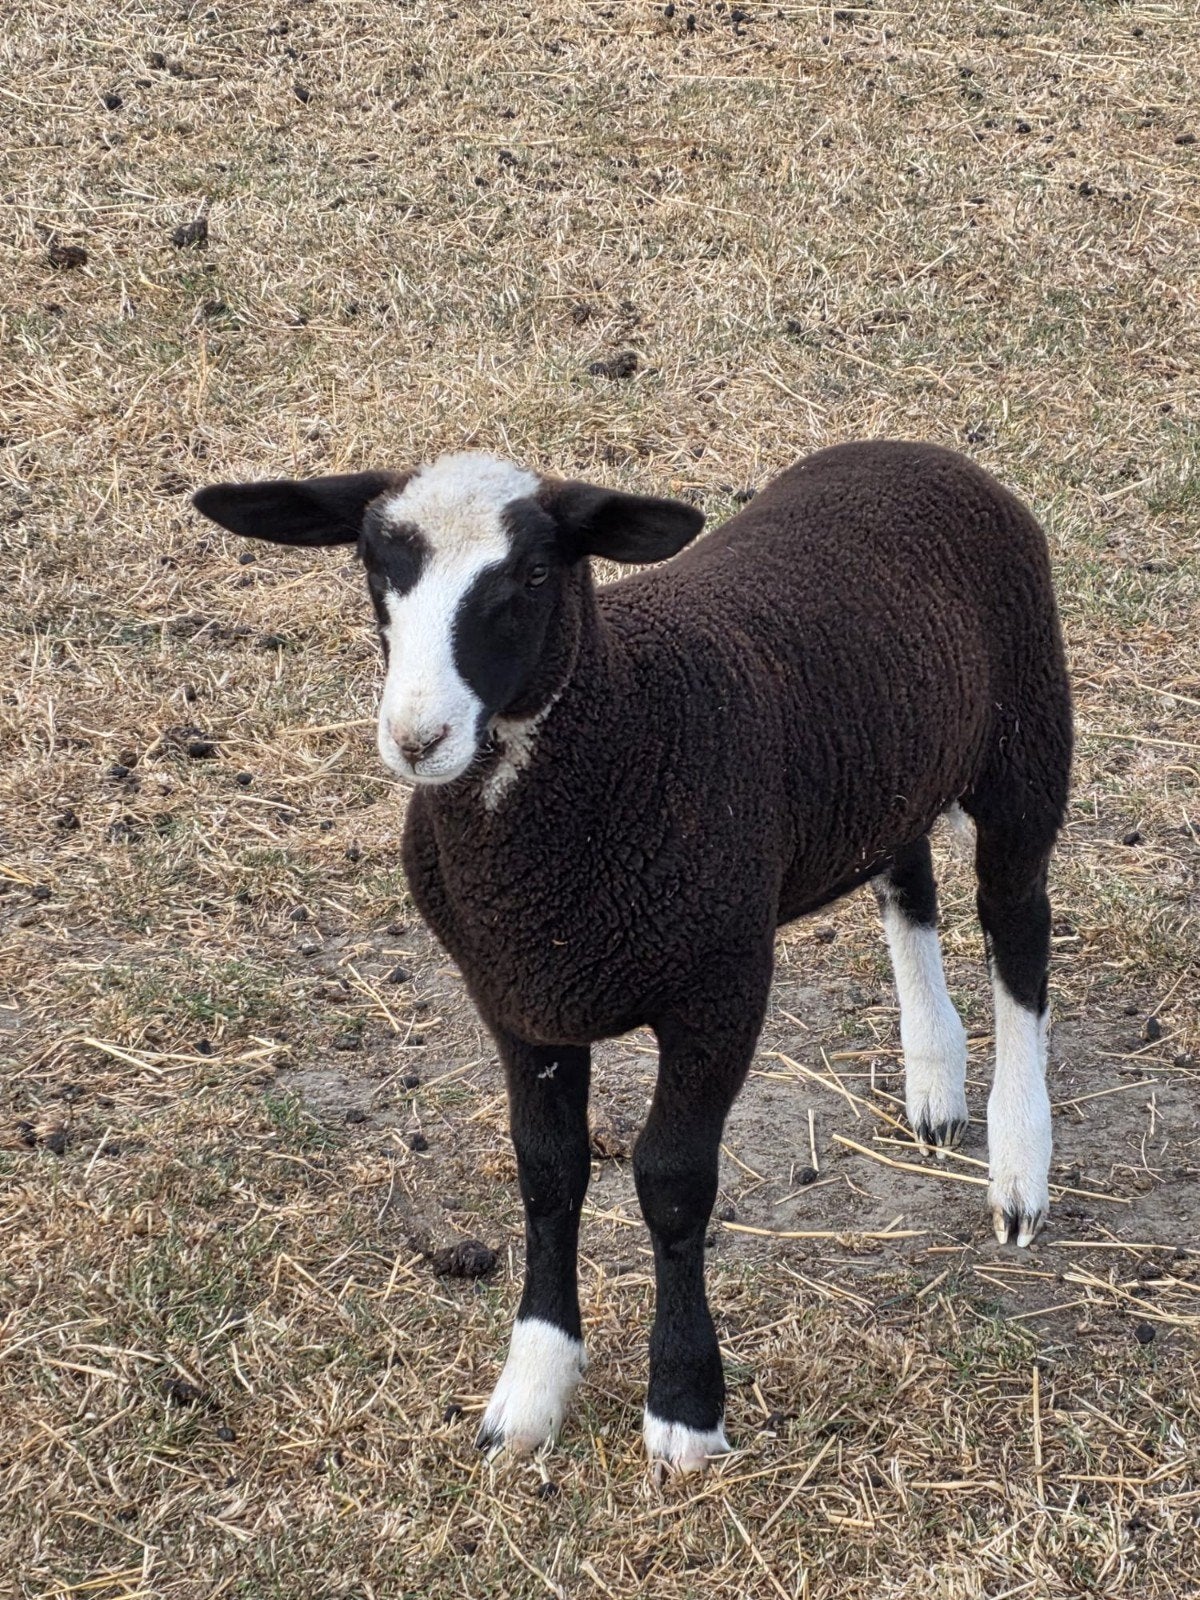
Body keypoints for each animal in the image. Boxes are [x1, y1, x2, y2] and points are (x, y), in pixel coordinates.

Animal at [192, 440, 1073, 1475]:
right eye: (376, 566)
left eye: (535, 574)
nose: (418, 740)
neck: (623, 722)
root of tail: (913, 450)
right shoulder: (518, 995)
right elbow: (548, 1172)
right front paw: (529, 1393)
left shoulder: (718, 990)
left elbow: (673, 1185)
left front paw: (685, 1407)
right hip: (891, 763)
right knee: (908, 875)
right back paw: (934, 1078)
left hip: (1026, 745)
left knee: (1018, 930)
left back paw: (1019, 1169)